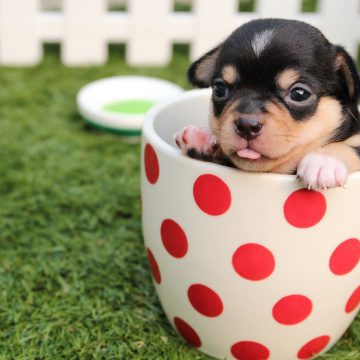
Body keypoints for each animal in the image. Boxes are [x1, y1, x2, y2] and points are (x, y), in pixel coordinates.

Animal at [175, 17, 360, 188]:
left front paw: (324, 161)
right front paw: (202, 139)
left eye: (299, 94)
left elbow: (350, 147)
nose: (247, 126)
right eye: (219, 89)